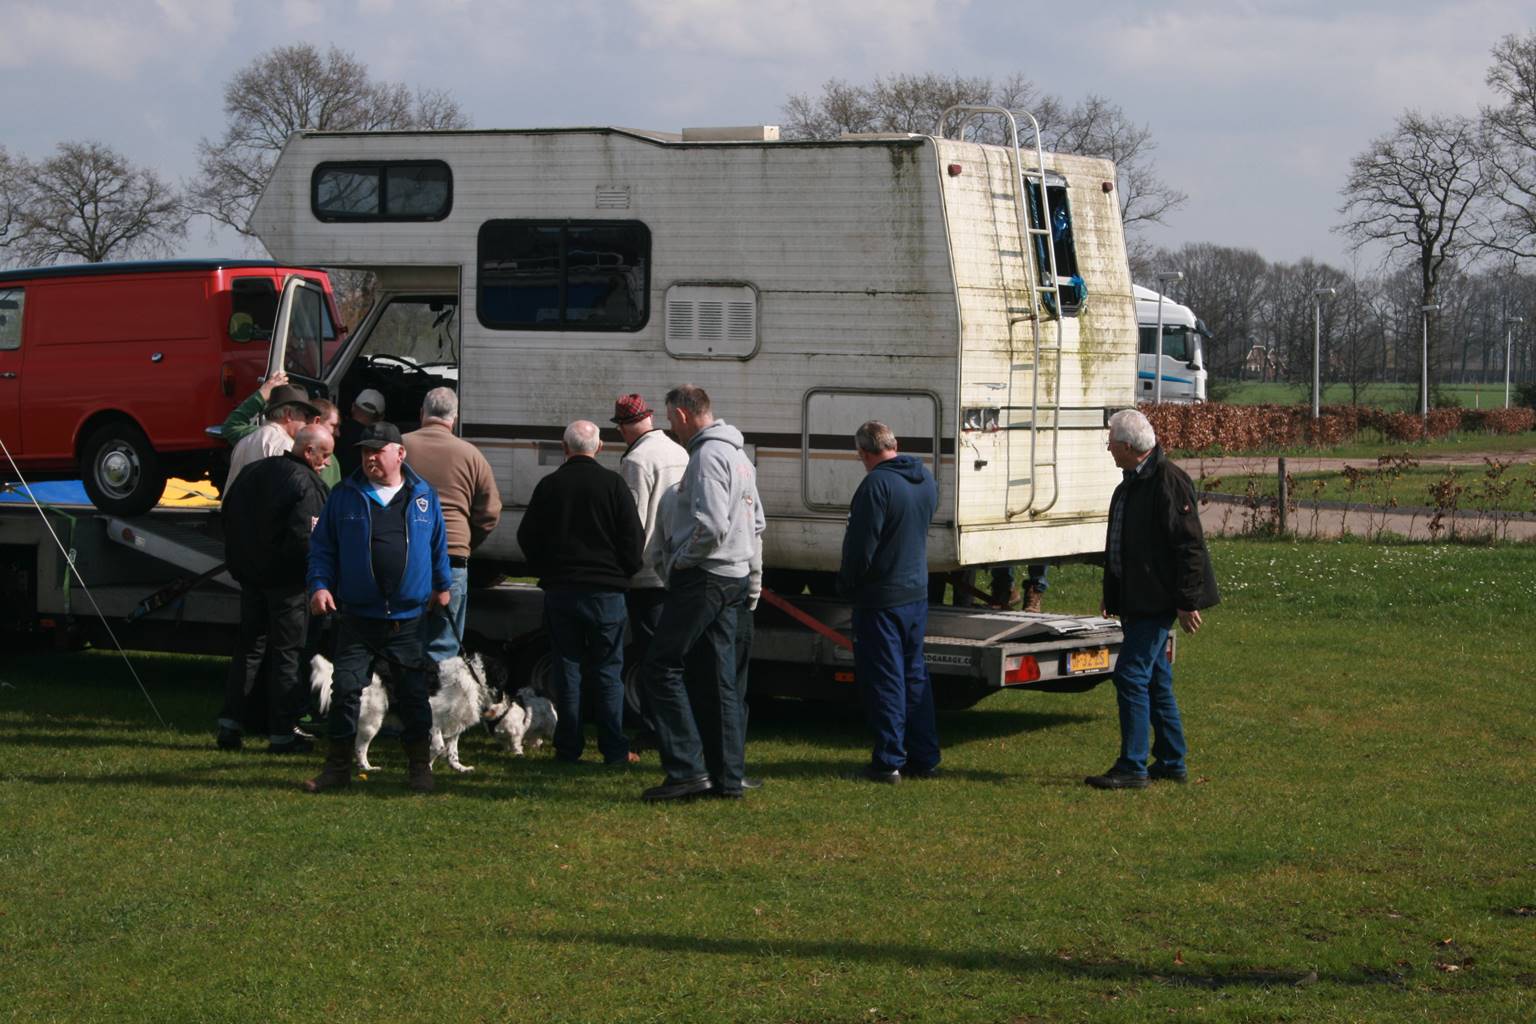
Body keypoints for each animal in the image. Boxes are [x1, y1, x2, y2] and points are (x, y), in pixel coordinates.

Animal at [314, 654, 494, 773]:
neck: (473, 675)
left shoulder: (454, 724)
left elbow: (453, 751)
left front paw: (459, 768)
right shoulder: (433, 719)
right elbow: (439, 747)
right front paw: (426, 766)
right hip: (372, 720)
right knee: (360, 746)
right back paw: (368, 767)